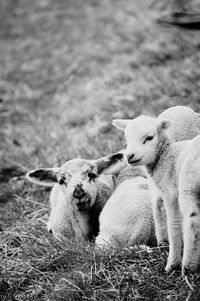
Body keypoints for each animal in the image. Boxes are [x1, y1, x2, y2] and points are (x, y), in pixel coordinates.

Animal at [112, 115, 200, 274]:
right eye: (126, 139)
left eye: (149, 137)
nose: (129, 156)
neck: (165, 155)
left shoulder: (170, 192)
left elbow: (173, 225)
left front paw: (172, 263)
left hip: (187, 186)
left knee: (192, 220)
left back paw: (187, 266)